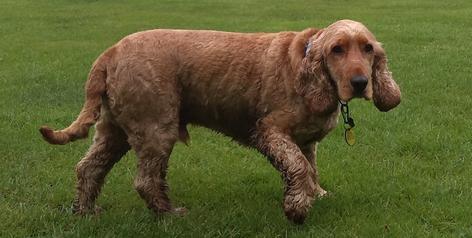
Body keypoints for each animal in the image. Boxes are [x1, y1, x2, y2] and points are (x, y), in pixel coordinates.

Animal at [40, 19, 400, 224]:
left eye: (367, 48)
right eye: (337, 49)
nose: (360, 83)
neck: (307, 68)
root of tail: (110, 53)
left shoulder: (305, 141)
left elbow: (309, 168)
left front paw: (315, 193)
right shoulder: (270, 131)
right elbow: (298, 167)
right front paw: (297, 208)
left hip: (114, 129)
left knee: (88, 168)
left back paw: (85, 211)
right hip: (157, 128)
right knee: (145, 180)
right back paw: (169, 213)